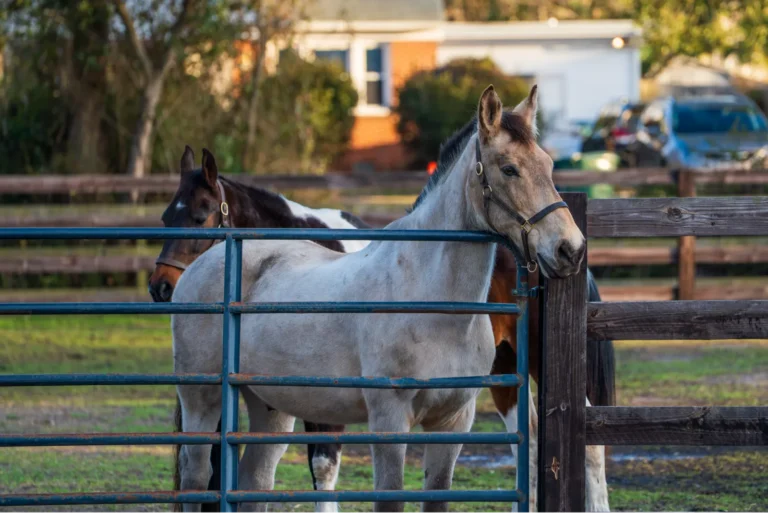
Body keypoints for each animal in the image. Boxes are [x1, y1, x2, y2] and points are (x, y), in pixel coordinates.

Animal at [170, 84, 586, 513]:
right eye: (508, 168)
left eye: (548, 165)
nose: (570, 249)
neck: (432, 302)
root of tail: (201, 266)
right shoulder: (389, 421)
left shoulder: (453, 422)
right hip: (202, 400)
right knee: (197, 478)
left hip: (269, 409)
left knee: (255, 481)